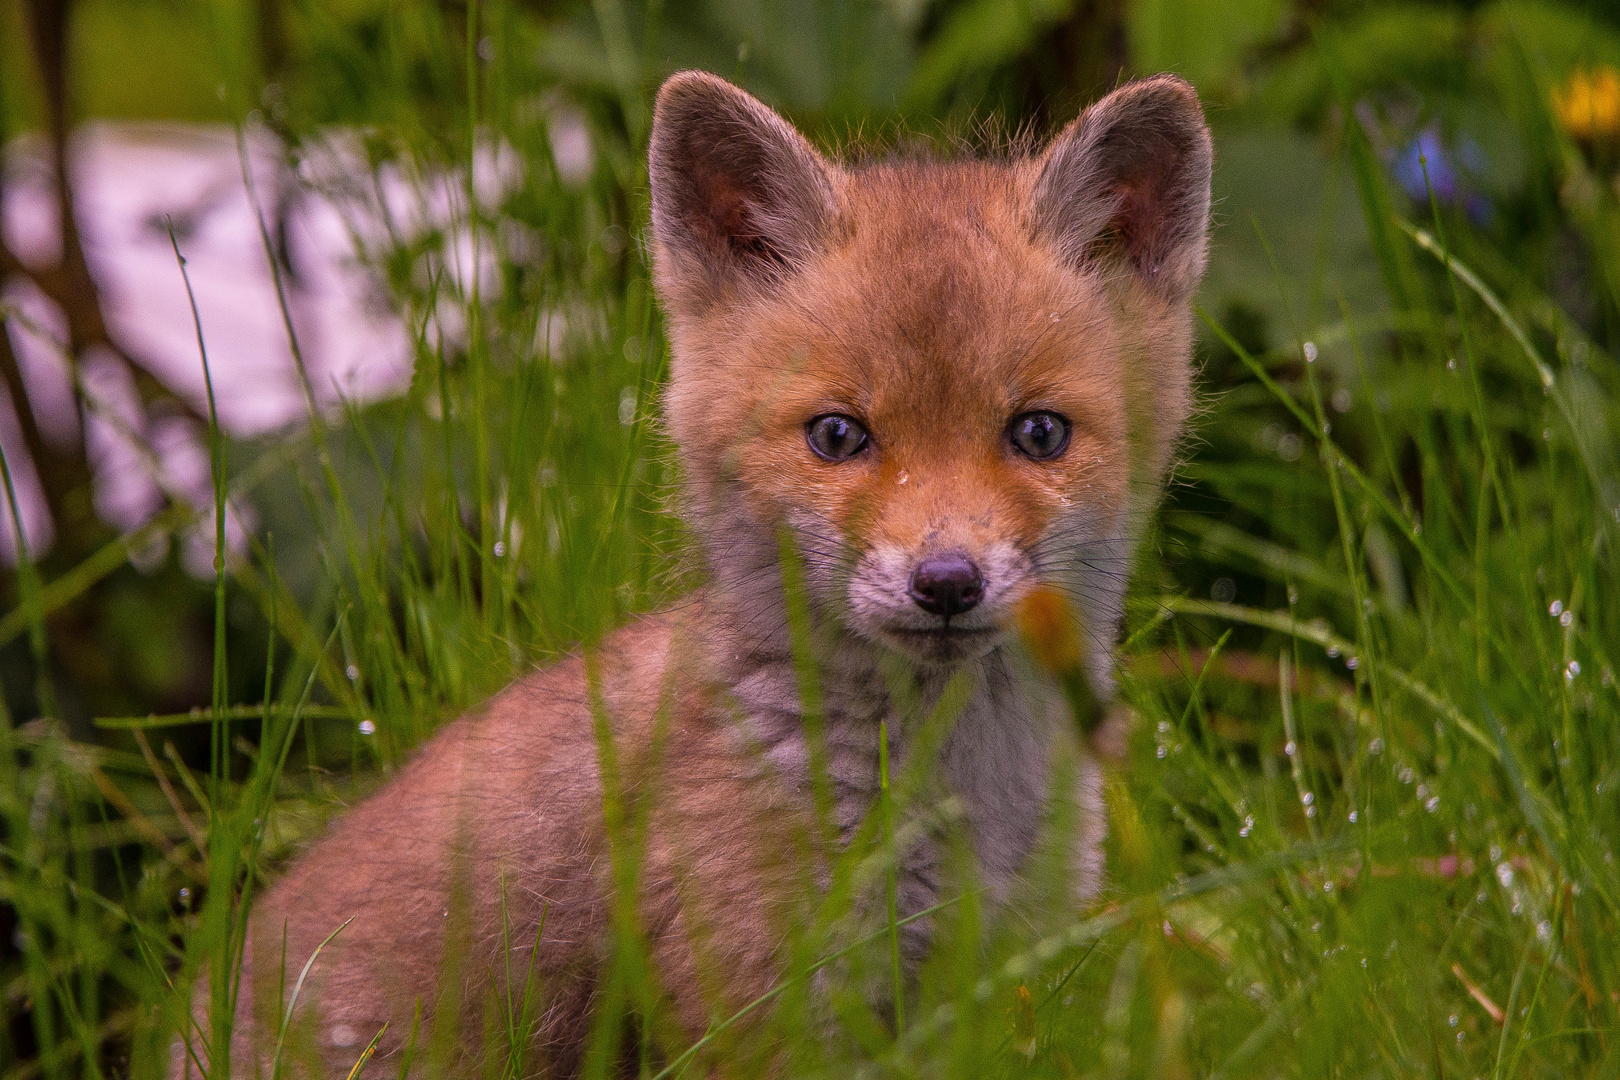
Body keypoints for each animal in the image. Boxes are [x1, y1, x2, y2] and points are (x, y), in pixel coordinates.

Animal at [183, 71, 1211, 1075]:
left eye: (1038, 432)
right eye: (838, 435)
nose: (947, 582)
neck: (961, 806)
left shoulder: (997, 987)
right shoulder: (761, 1012)